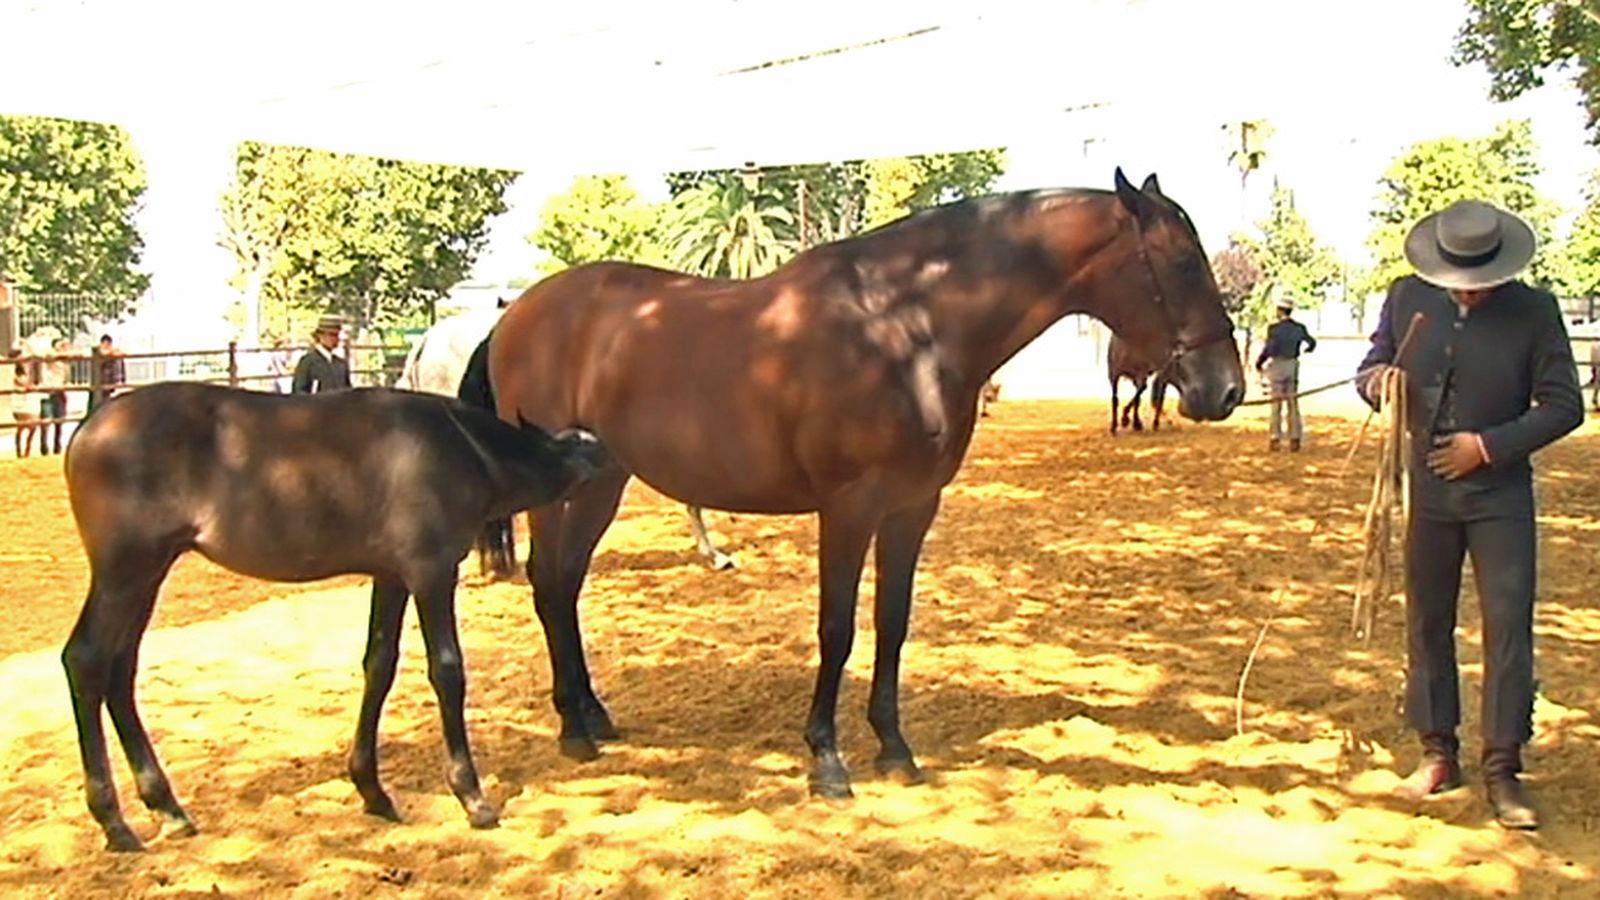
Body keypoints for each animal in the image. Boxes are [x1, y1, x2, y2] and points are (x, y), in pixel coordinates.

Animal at [61, 382, 608, 851]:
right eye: (581, 451)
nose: (609, 459)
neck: (462, 448)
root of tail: (87, 431)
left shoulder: (391, 576)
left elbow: (379, 665)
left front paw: (372, 788)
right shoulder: (430, 573)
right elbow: (447, 671)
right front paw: (471, 795)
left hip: (147, 575)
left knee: (119, 671)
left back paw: (166, 807)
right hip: (126, 571)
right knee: (86, 660)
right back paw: (113, 820)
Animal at [466, 169, 1245, 799]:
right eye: (1181, 262)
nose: (1227, 390)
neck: (902, 327)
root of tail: (514, 315)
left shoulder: (911, 508)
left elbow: (892, 625)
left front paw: (894, 748)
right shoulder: (848, 507)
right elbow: (836, 627)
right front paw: (827, 760)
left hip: (604, 481)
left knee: (565, 584)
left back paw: (594, 716)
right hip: (564, 492)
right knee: (548, 583)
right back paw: (573, 731)